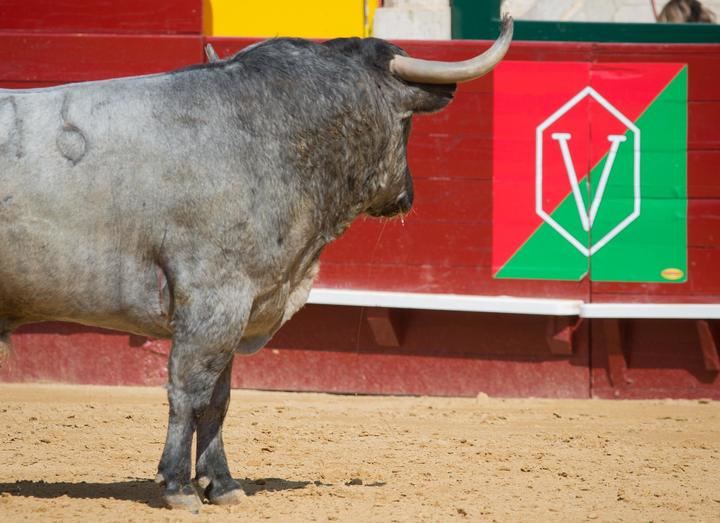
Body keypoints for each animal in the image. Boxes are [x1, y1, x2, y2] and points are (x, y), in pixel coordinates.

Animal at [0, 17, 512, 512]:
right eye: (406, 125)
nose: (408, 194)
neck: (269, 131)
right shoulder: (212, 302)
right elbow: (190, 390)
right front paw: (177, 485)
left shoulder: (240, 308)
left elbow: (219, 399)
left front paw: (222, 483)